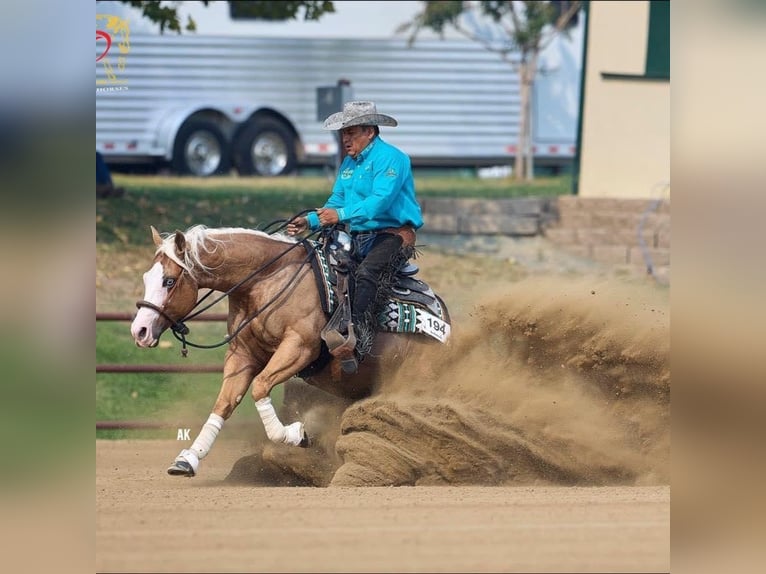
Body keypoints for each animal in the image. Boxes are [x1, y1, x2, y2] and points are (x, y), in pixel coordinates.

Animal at [130, 224, 451, 477]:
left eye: (169, 281)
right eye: (146, 278)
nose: (139, 331)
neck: (267, 280)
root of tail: (442, 318)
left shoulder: (298, 348)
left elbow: (260, 387)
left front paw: (297, 435)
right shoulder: (242, 354)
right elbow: (224, 403)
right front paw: (188, 459)